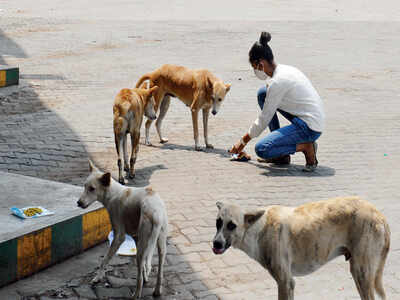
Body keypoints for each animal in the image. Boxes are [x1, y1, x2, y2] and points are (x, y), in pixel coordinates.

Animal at [77, 162, 168, 300]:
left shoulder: (119, 236)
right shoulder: (136, 237)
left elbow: (105, 259)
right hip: (159, 245)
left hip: (142, 248)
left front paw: (98, 277)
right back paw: (157, 291)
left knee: (139, 278)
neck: (112, 193)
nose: (78, 203)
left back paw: (136, 295)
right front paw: (146, 276)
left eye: (92, 189)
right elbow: (145, 266)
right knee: (159, 270)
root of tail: (155, 211)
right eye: (84, 186)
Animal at [212, 197, 390, 300]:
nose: (216, 244)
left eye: (232, 225)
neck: (259, 228)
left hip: (361, 273)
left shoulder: (286, 282)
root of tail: (379, 214)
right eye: (218, 222)